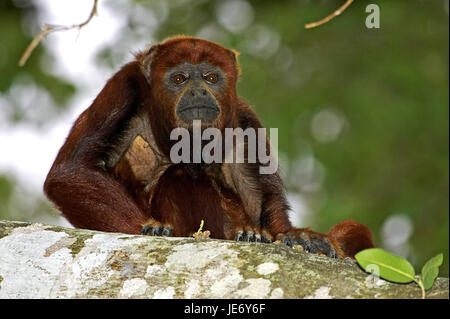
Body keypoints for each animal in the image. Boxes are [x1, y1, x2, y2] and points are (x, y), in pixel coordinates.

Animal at [44, 35, 374, 260]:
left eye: (211, 77)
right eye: (179, 78)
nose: (198, 91)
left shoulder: (243, 120)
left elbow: (262, 202)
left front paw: (294, 235)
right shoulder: (123, 85)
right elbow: (71, 173)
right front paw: (152, 228)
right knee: (181, 175)